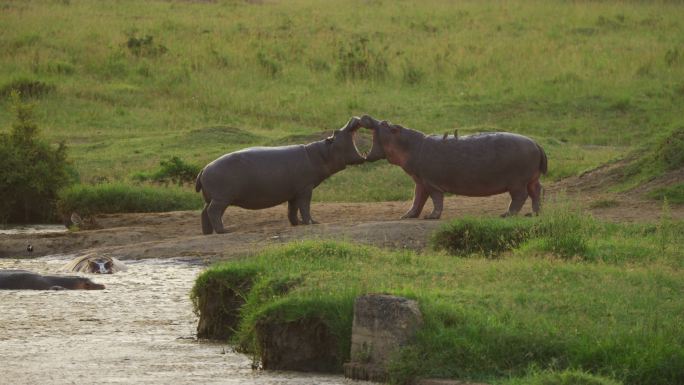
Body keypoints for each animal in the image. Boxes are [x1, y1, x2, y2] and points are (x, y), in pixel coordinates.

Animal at [195, 115, 366, 232]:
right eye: (337, 132)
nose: (353, 118)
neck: (322, 153)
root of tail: (203, 169)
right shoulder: (305, 189)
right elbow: (305, 207)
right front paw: (312, 222)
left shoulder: (294, 192)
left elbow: (292, 210)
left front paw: (297, 223)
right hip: (221, 198)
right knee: (213, 212)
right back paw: (224, 230)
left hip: (211, 198)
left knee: (204, 212)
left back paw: (208, 232)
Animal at [360, 114, 548, 218]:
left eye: (385, 123)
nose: (365, 117)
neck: (410, 145)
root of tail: (536, 143)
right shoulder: (420, 182)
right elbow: (417, 200)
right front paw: (406, 216)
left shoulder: (431, 183)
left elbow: (436, 200)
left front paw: (431, 217)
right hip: (531, 179)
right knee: (536, 192)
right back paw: (533, 214)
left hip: (517, 182)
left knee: (520, 196)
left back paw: (506, 214)